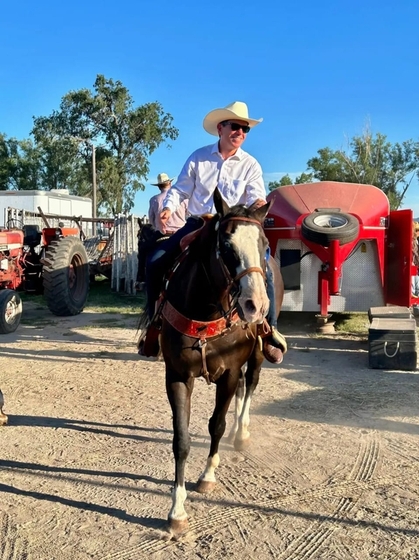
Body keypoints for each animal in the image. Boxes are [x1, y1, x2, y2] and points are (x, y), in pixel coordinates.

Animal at [144, 190, 286, 536]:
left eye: (264, 244)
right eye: (226, 246)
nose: (255, 305)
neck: (206, 314)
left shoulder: (230, 373)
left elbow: (216, 425)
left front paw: (208, 475)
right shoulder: (177, 376)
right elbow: (180, 440)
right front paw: (177, 509)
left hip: (258, 354)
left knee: (251, 385)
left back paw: (241, 432)